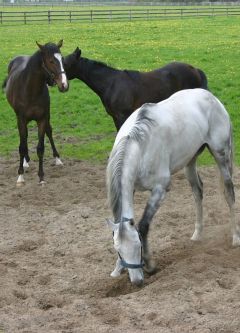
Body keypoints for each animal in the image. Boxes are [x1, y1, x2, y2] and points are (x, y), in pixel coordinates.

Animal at [2, 40, 68, 185]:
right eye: (50, 61)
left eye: (62, 59)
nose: (64, 85)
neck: (30, 90)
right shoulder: (21, 119)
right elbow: (22, 146)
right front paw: (20, 176)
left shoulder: (42, 119)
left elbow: (40, 148)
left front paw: (41, 177)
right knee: (24, 138)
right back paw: (25, 161)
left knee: (49, 131)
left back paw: (57, 159)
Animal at [63, 46, 208, 130]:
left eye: (64, 63)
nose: (60, 84)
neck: (111, 84)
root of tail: (194, 69)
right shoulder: (115, 117)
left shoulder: (122, 116)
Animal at [106, 88, 238, 286]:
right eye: (119, 251)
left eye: (138, 246)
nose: (137, 282)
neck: (139, 145)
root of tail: (210, 96)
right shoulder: (132, 188)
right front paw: (117, 270)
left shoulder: (160, 189)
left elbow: (144, 225)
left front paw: (151, 265)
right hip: (190, 160)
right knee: (198, 192)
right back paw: (197, 234)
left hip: (221, 154)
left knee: (229, 193)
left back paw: (235, 238)